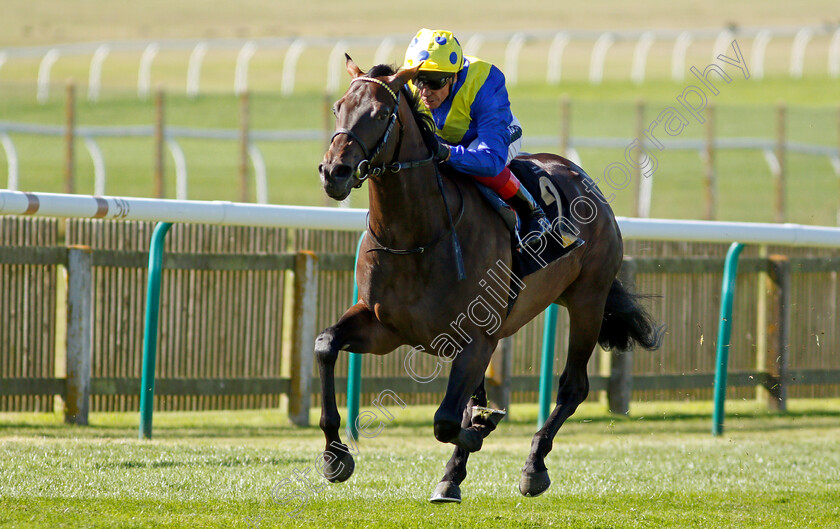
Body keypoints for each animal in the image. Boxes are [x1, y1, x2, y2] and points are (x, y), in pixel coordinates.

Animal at [316, 55, 664, 502]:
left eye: (378, 114)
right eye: (338, 107)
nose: (334, 172)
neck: (416, 237)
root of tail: (577, 173)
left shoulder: (476, 338)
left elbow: (447, 420)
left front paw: (480, 431)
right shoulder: (384, 328)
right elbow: (326, 344)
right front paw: (335, 456)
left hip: (589, 298)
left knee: (573, 387)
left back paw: (532, 466)